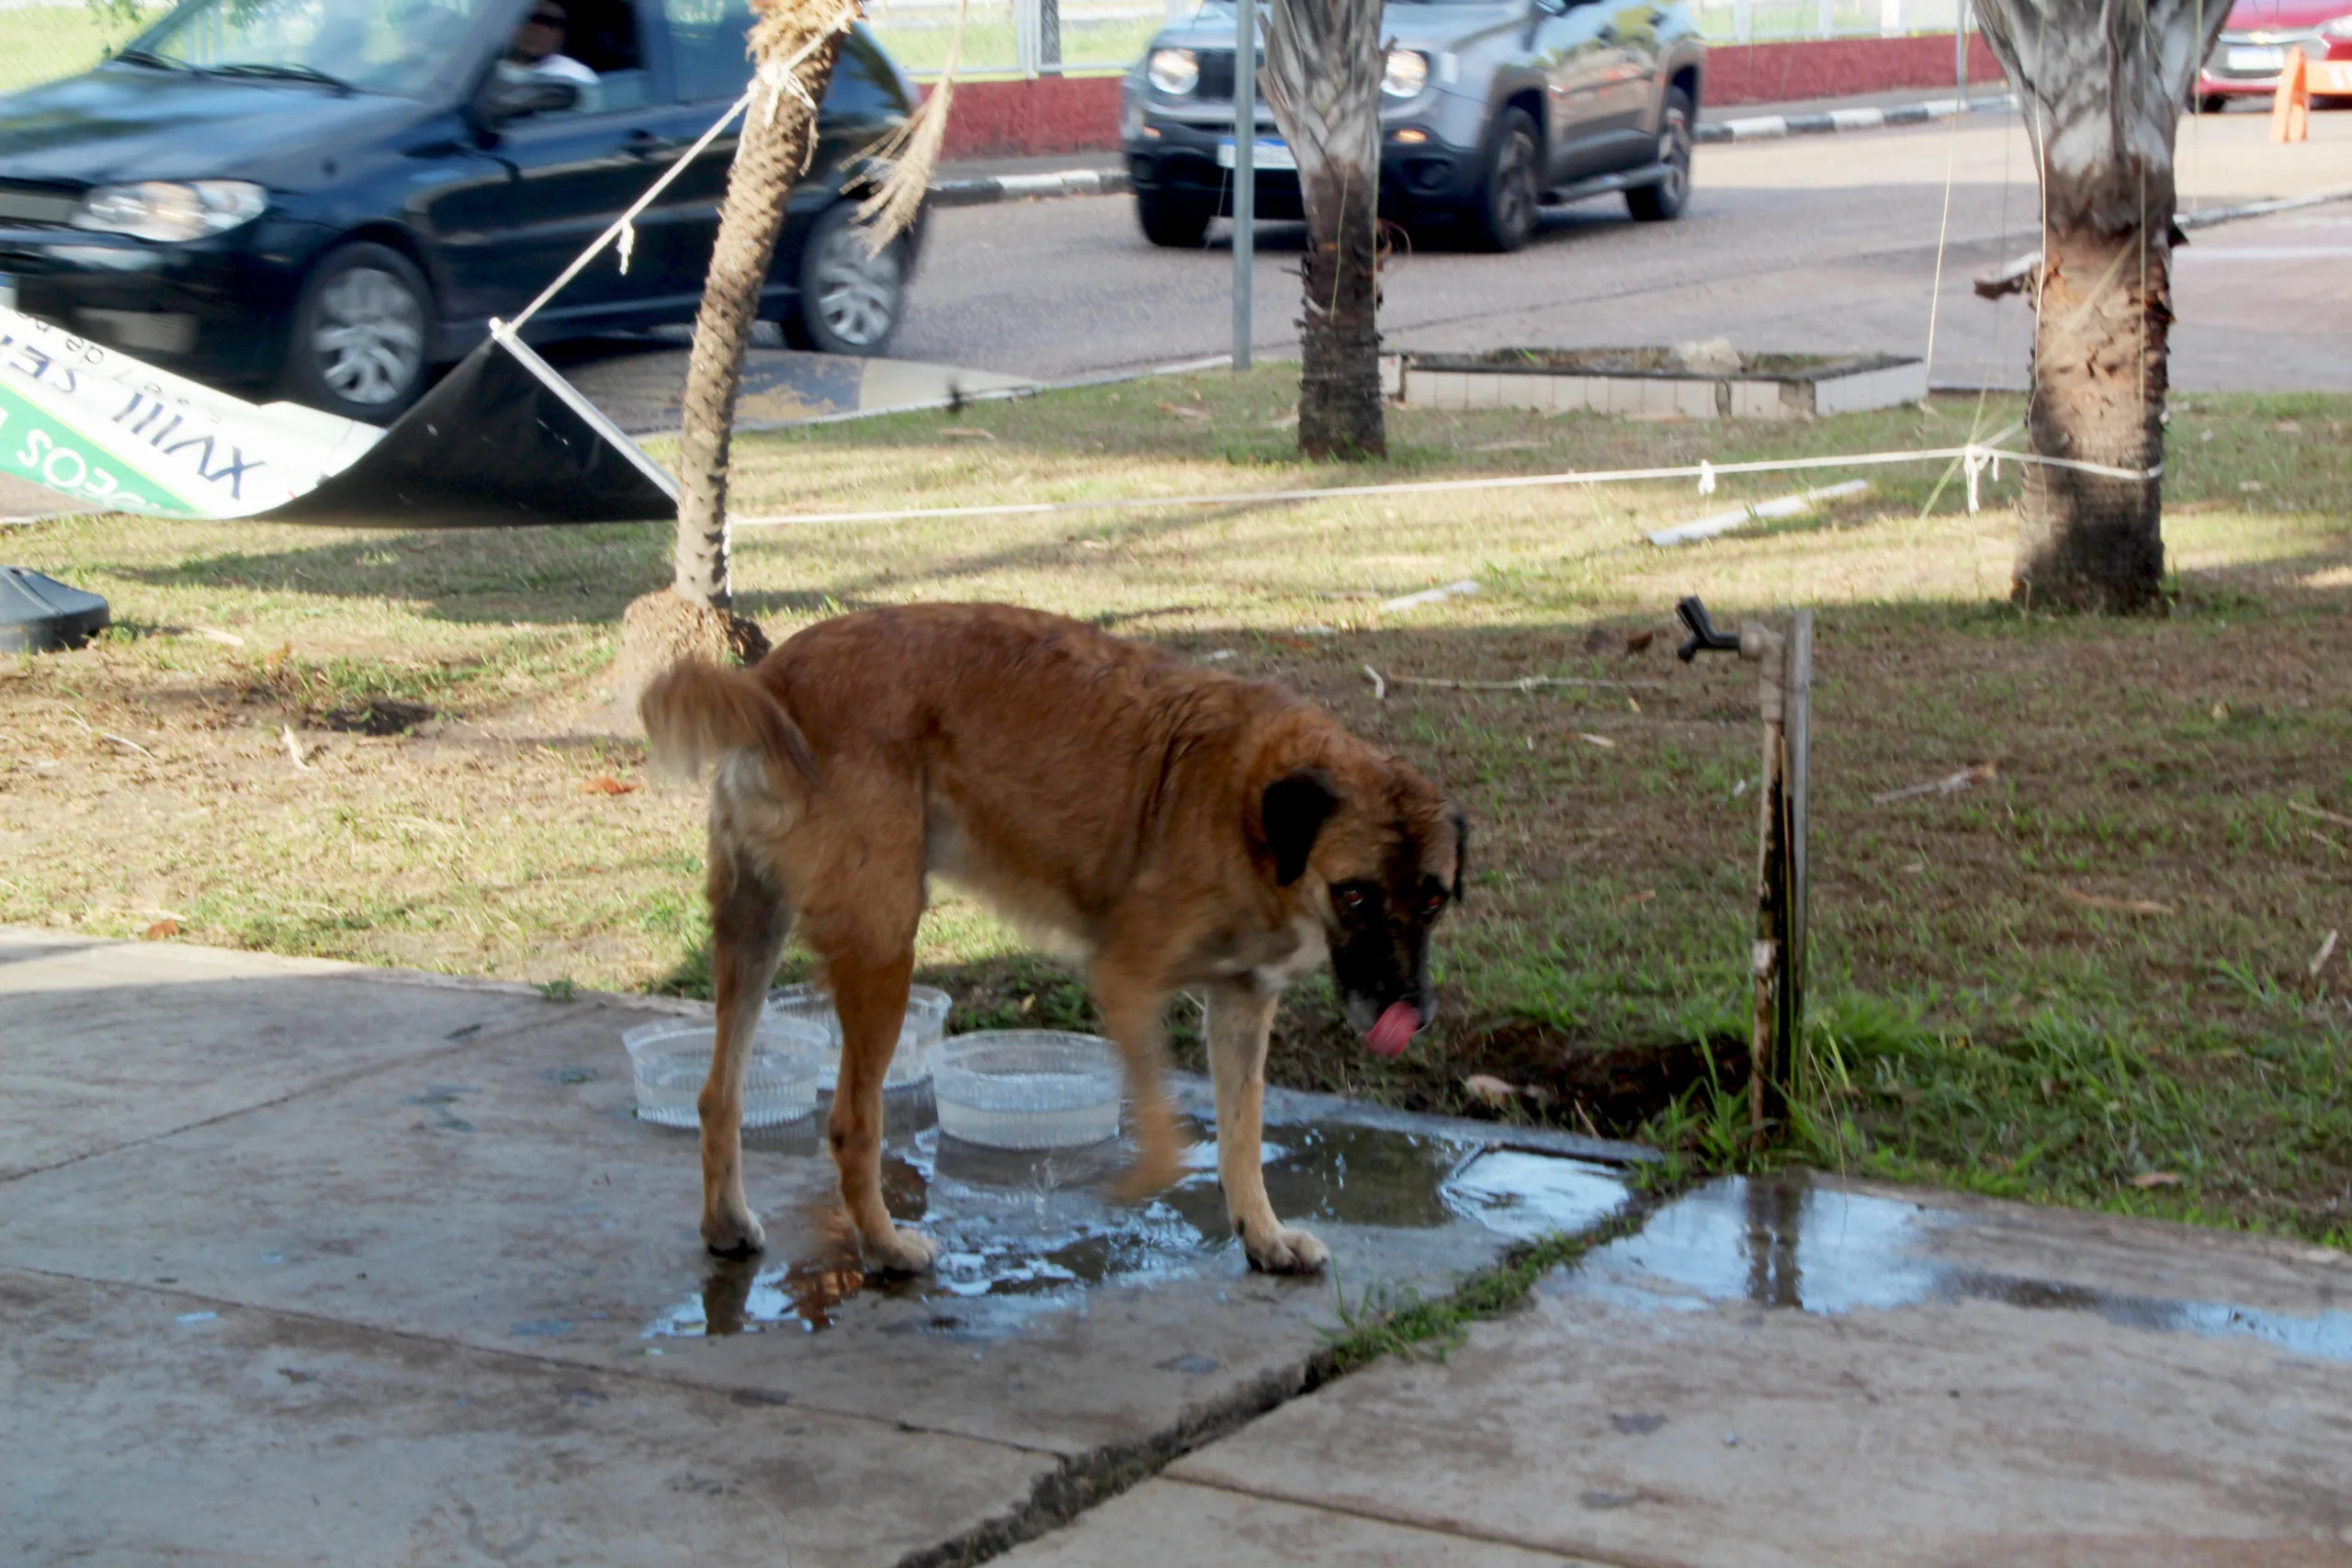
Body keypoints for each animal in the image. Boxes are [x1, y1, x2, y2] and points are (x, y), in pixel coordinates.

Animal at [635, 602, 1458, 1279]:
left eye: (1433, 898)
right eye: (1356, 894)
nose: (1412, 1013)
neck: (1250, 808)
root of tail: (774, 679)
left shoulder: (1240, 1006)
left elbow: (1241, 1135)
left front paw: (1262, 1234)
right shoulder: (1125, 976)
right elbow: (1169, 1137)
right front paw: (1135, 1184)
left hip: (753, 930)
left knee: (717, 1095)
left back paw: (725, 1222)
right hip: (883, 951)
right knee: (849, 1122)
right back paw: (884, 1245)